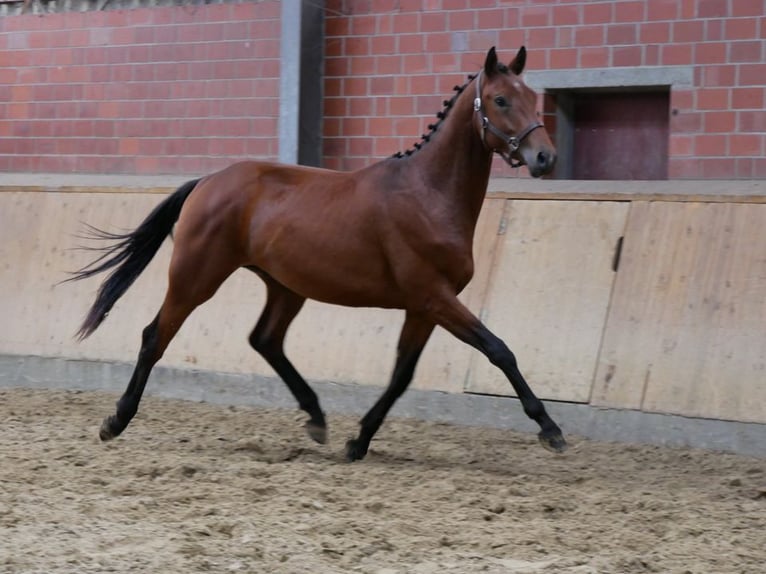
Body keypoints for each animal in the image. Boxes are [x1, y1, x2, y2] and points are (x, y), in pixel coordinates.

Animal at [69, 48, 568, 464]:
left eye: (531, 97)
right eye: (501, 100)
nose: (545, 157)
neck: (428, 194)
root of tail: (208, 181)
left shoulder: (423, 307)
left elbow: (401, 375)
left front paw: (358, 441)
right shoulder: (434, 297)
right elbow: (499, 351)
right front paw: (550, 429)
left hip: (284, 286)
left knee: (265, 340)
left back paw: (316, 418)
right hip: (196, 277)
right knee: (156, 335)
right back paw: (116, 421)